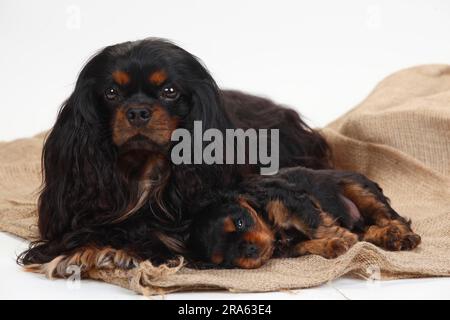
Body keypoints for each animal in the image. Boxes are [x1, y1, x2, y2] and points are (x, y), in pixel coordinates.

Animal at [188, 166, 420, 268]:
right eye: (225, 259)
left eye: (240, 222)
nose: (248, 248)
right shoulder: (289, 247)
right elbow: (307, 245)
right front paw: (333, 245)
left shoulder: (293, 201)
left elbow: (316, 226)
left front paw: (342, 238)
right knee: (369, 231)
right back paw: (387, 236)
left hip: (359, 189)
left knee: (392, 218)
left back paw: (402, 237)